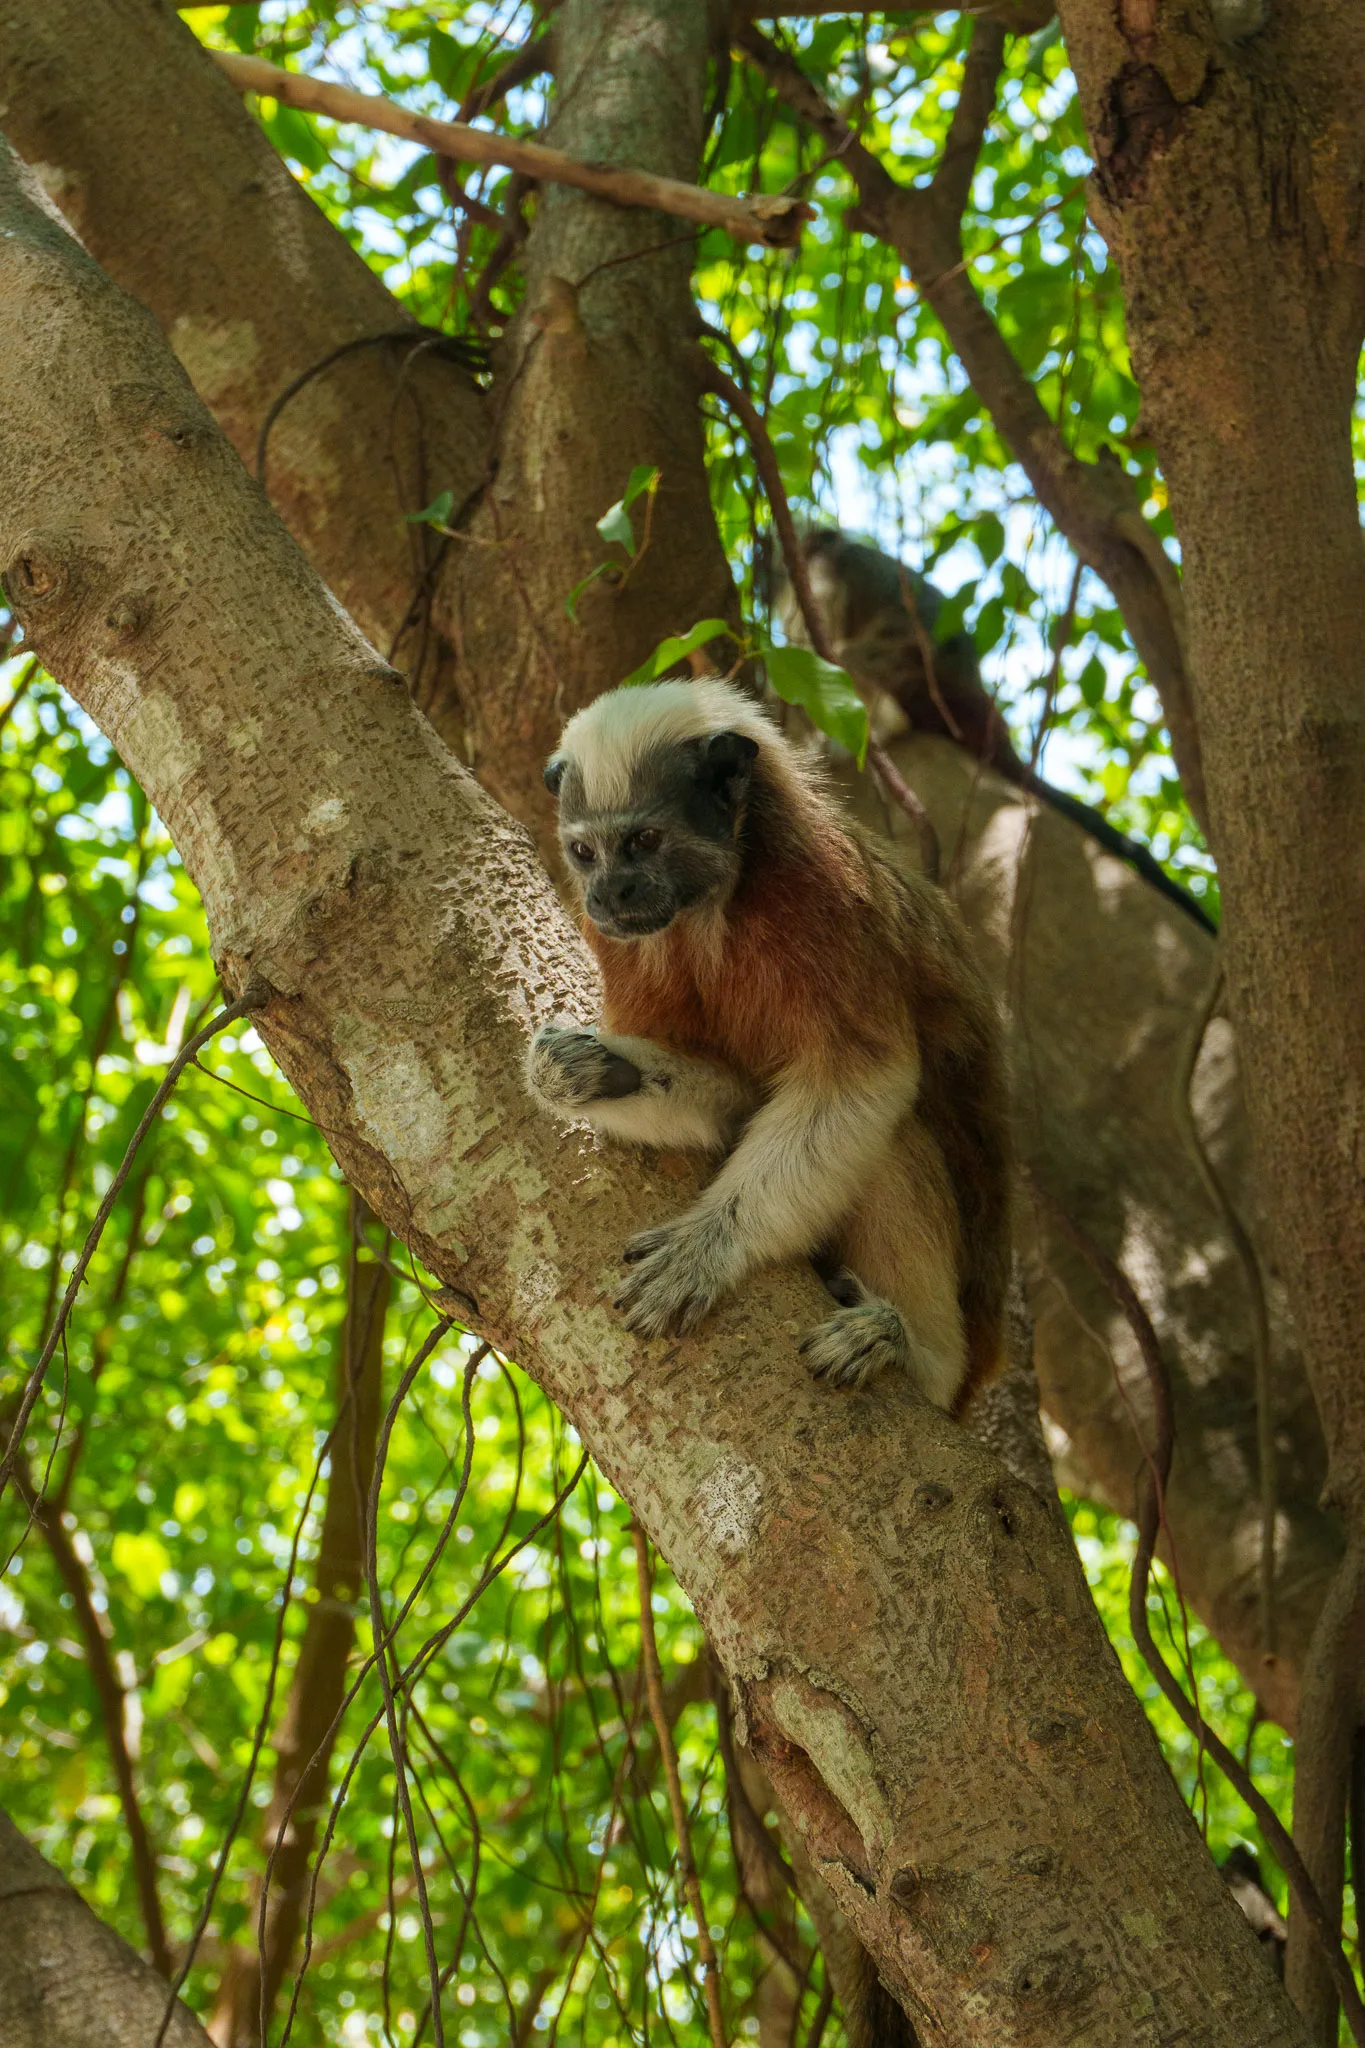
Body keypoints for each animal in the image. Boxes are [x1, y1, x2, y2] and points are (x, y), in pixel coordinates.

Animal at [526, 676, 1011, 1414]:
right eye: (584, 853)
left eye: (643, 840)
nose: (609, 892)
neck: (712, 908)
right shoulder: (625, 946)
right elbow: (735, 1100)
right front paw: (586, 1072)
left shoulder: (828, 905)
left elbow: (860, 1082)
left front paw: (710, 1246)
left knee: (892, 1139)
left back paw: (912, 1351)